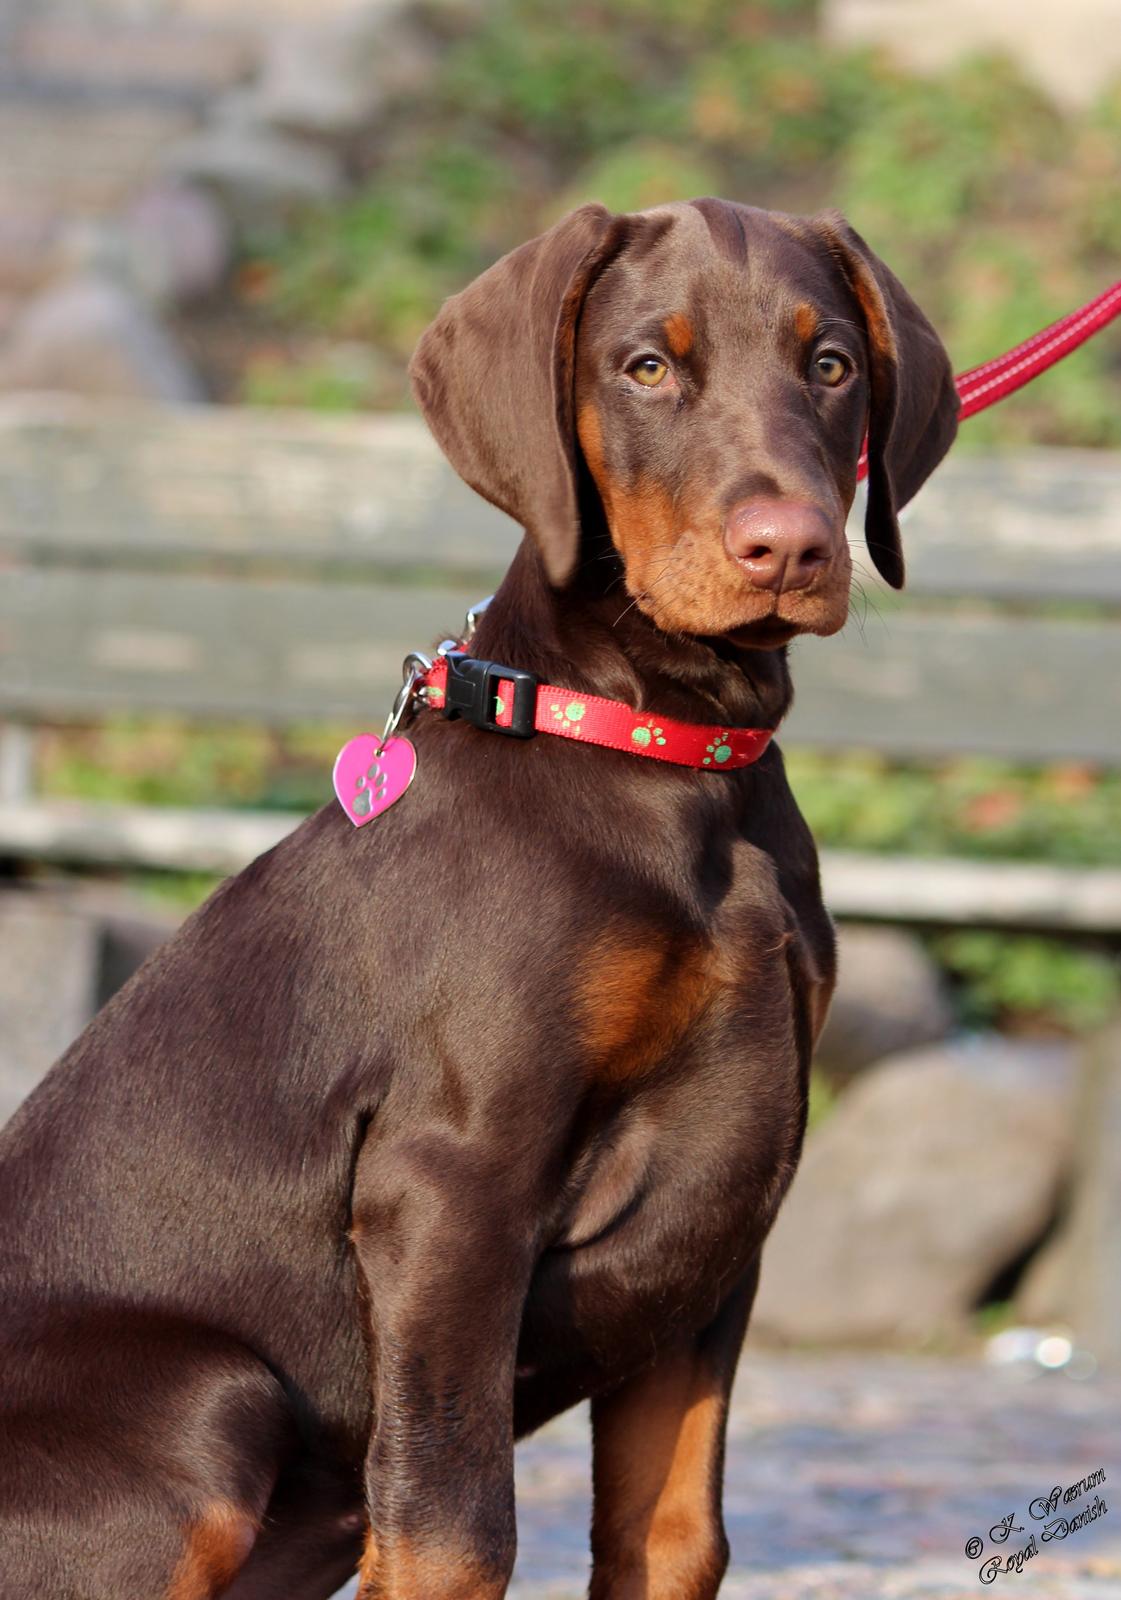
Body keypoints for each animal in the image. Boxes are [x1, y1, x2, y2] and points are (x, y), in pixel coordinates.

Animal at [0, 203, 959, 1600]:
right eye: (645, 366)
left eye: (829, 364)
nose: (788, 547)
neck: (668, 750)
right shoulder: (451, 1180)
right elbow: (454, 1533)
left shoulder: (722, 1218)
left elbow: (669, 1535)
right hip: (206, 1396)